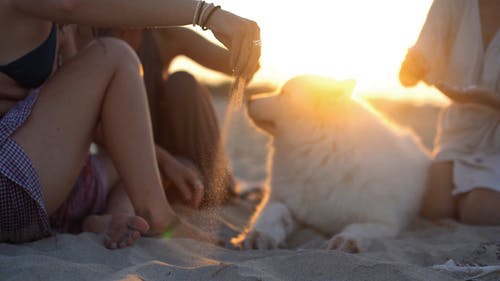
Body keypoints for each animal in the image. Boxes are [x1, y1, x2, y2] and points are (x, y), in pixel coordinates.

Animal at [234, 74, 430, 252]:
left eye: (284, 93)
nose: (249, 99)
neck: (320, 157)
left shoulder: (383, 222)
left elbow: (358, 228)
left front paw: (346, 240)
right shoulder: (281, 200)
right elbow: (272, 214)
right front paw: (259, 235)